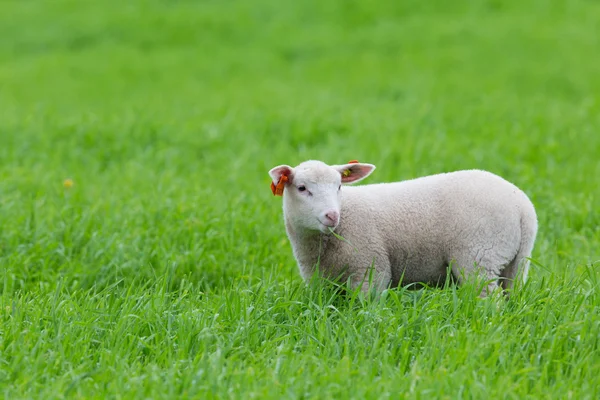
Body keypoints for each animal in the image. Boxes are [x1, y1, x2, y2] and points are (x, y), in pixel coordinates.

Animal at [270, 159, 536, 296]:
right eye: (302, 188)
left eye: (339, 186)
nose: (332, 216)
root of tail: (523, 208)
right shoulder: (318, 280)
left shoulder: (370, 269)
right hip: (515, 262)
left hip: (479, 257)